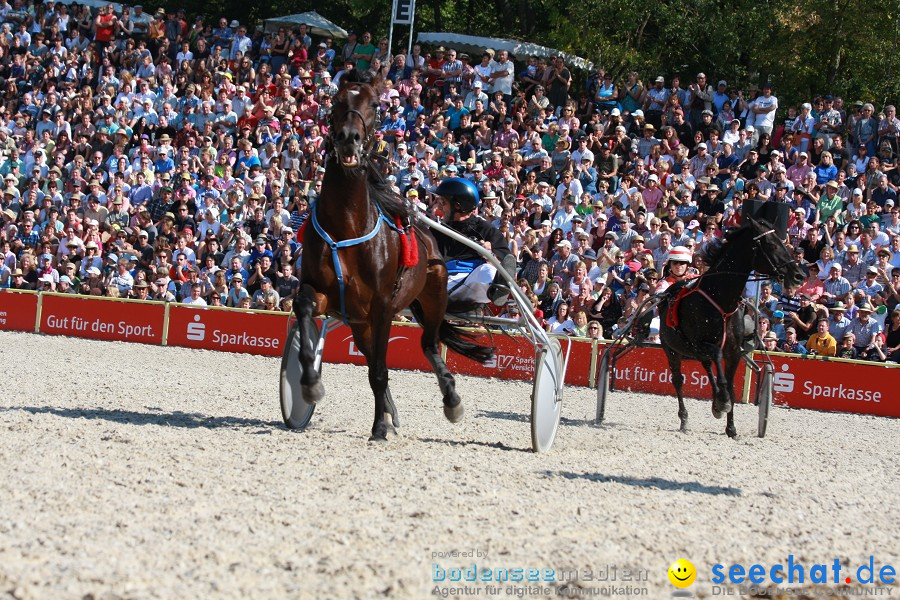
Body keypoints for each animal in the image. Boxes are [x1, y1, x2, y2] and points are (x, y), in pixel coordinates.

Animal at [294, 72, 492, 442]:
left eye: (375, 103)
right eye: (336, 100)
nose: (349, 139)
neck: (346, 225)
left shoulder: (384, 305)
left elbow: (380, 370)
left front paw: (378, 427)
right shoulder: (323, 292)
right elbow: (303, 309)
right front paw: (310, 385)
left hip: (433, 295)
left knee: (428, 344)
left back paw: (450, 400)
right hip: (359, 321)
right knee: (374, 353)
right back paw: (391, 410)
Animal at [656, 216, 804, 436]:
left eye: (783, 242)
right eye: (771, 244)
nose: (799, 275)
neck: (720, 299)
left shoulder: (733, 351)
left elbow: (730, 385)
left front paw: (731, 426)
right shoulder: (703, 345)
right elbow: (719, 366)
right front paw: (722, 403)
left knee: (707, 368)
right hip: (672, 349)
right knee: (678, 380)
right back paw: (685, 418)